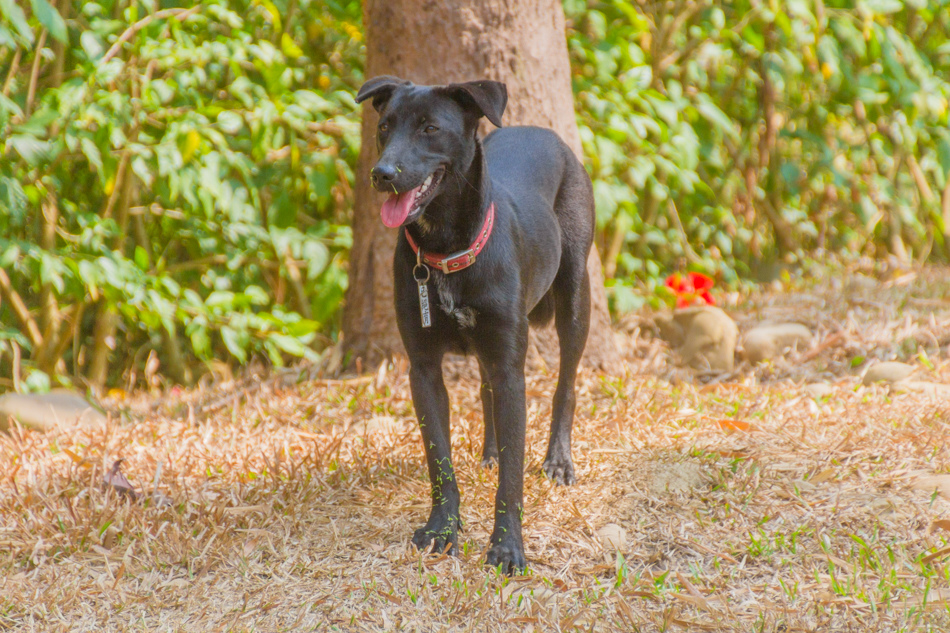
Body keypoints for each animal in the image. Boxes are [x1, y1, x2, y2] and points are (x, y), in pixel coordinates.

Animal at [356, 75, 596, 572]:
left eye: (430, 128)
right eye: (385, 127)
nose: (382, 173)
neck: (445, 250)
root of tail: (545, 133)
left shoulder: (510, 367)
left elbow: (513, 476)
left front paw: (507, 547)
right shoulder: (423, 370)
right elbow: (439, 461)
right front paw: (441, 529)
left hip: (575, 297)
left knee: (566, 385)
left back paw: (559, 460)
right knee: (486, 394)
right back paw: (489, 453)